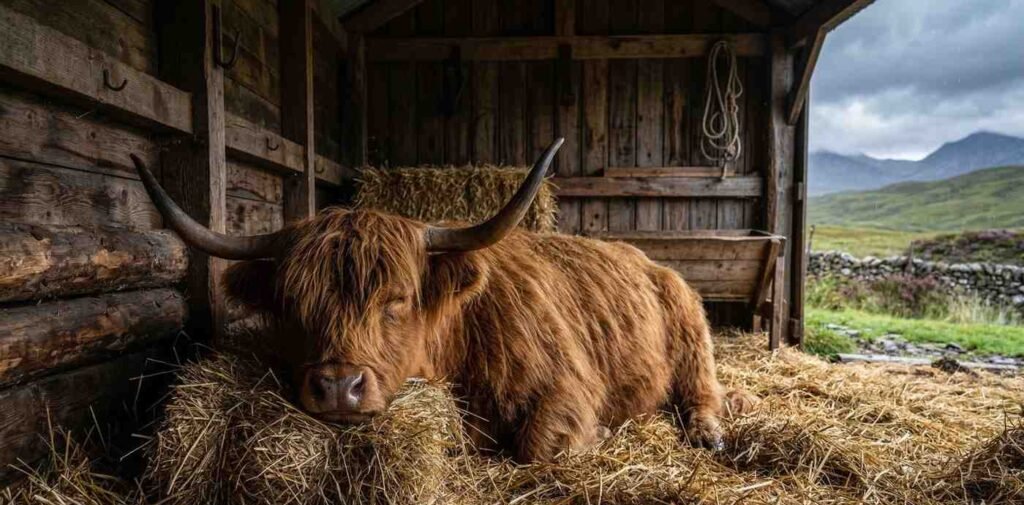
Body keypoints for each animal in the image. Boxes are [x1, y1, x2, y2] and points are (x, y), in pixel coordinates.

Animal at [129, 138, 727, 462]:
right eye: (293, 303)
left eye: (396, 300)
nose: (338, 386)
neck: (461, 344)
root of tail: (649, 261)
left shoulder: (566, 385)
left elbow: (539, 447)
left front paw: (599, 432)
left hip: (692, 341)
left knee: (703, 393)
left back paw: (710, 434)